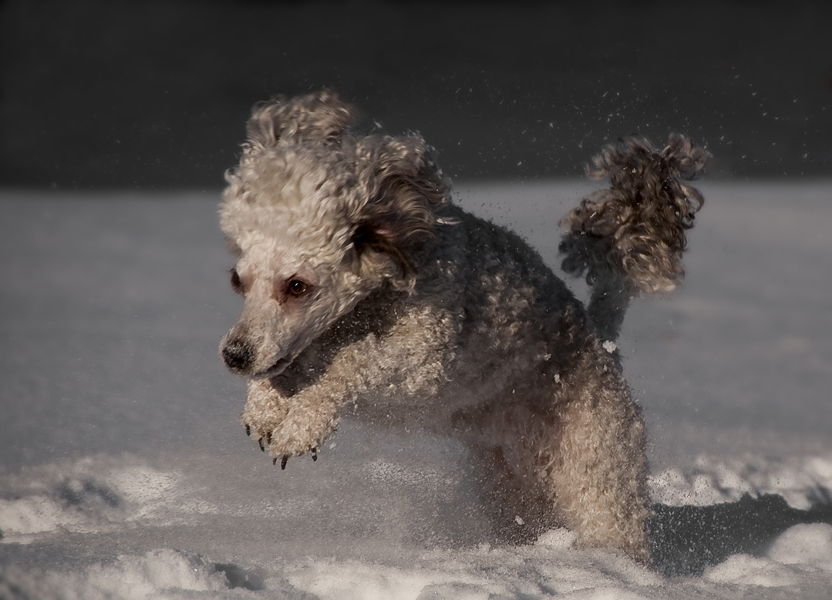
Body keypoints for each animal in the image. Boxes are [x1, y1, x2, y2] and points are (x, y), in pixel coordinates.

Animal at [218, 90, 704, 564]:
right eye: (237, 280)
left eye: (297, 285)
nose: (234, 356)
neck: (369, 303)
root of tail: (600, 340)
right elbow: (291, 365)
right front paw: (264, 406)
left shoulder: (425, 356)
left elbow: (351, 363)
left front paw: (302, 425)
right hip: (510, 485)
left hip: (596, 468)